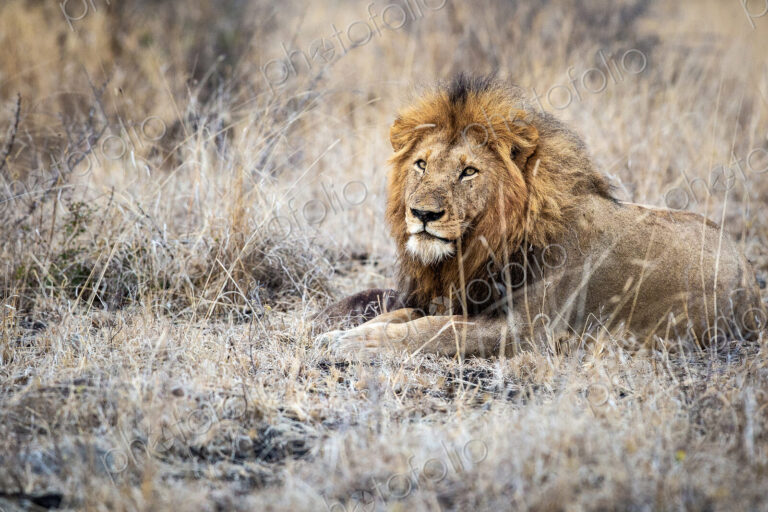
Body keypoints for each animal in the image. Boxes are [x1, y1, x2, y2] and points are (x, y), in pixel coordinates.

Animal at [316, 74, 765, 358]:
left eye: (468, 172)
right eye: (421, 164)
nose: (423, 213)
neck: (482, 246)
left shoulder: (526, 331)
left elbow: (437, 332)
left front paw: (358, 345)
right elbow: (403, 315)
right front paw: (342, 333)